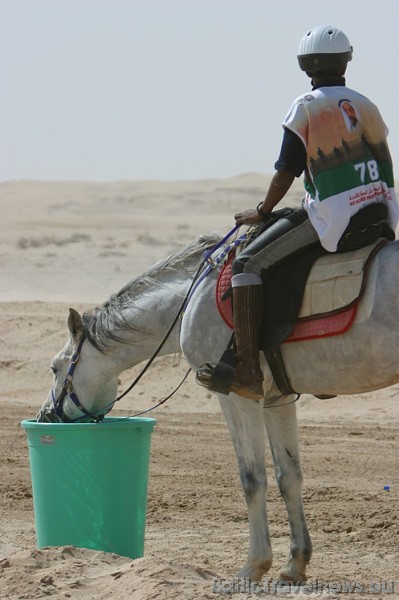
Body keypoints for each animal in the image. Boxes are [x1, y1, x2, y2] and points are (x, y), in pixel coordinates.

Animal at [37, 230, 399, 580]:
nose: (47, 415)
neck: (192, 301)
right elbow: (288, 476)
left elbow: (252, 478)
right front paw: (294, 564)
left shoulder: (237, 397)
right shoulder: (276, 400)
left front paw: (254, 566)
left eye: (55, 367)